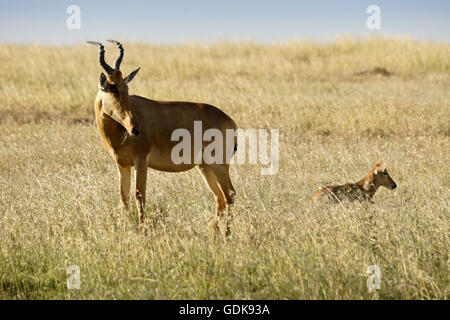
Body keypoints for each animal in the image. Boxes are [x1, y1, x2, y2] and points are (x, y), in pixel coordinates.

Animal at [85, 40, 237, 235]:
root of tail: (230, 121)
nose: (135, 129)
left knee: (230, 194)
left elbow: (139, 195)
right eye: (112, 88)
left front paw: (141, 231)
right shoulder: (122, 164)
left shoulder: (141, 161)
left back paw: (227, 234)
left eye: (126, 88)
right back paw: (214, 230)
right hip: (204, 166)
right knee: (220, 197)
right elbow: (123, 196)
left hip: (219, 163)